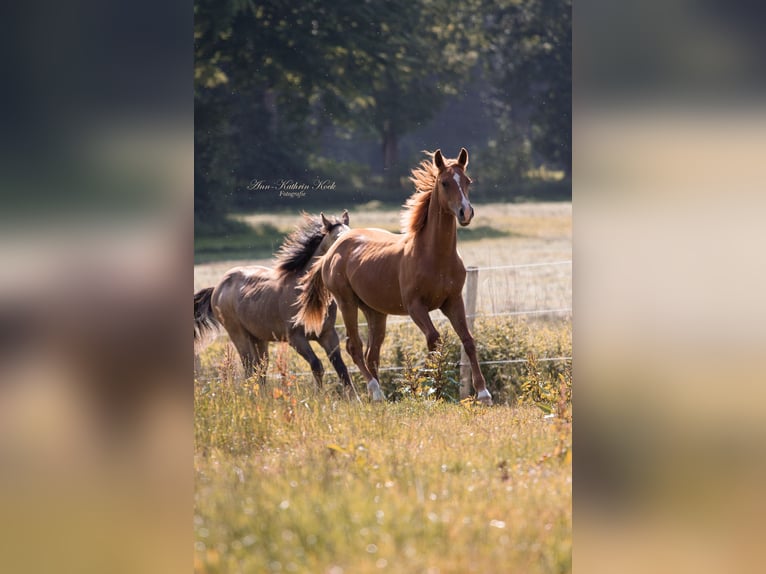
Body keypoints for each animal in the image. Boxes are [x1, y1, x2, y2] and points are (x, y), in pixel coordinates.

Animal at [194, 211, 353, 389]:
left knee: (260, 370)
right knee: (249, 369)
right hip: (239, 335)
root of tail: (217, 288)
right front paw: (319, 394)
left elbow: (341, 368)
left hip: (258, 338)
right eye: (337, 238)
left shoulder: (328, 334)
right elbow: (317, 366)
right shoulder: (296, 338)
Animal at [295, 149, 492, 405]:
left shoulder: (453, 301)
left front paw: (483, 393)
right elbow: (434, 339)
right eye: (445, 183)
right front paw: (429, 388)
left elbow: (468, 340)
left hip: (375, 312)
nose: (465, 212)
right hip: (346, 302)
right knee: (354, 346)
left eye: (467, 181)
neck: (434, 256)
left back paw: (379, 395)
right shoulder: (415, 306)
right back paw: (376, 391)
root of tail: (332, 250)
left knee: (372, 353)